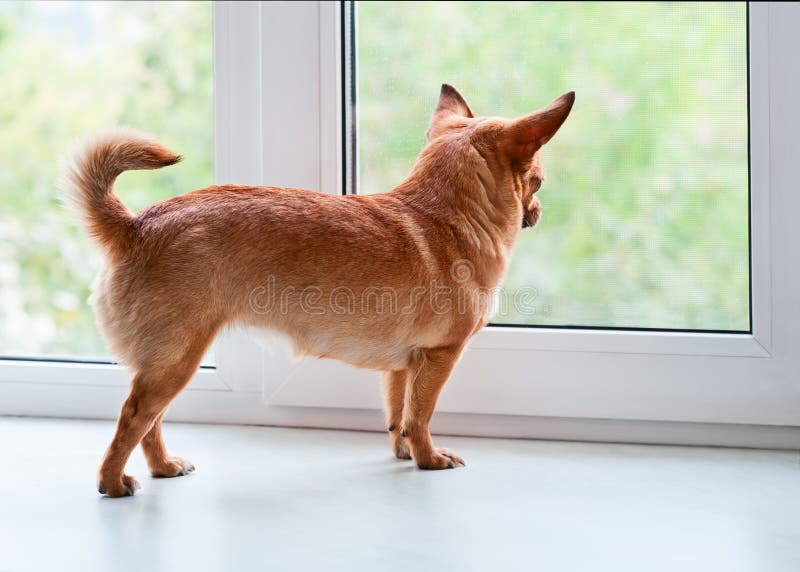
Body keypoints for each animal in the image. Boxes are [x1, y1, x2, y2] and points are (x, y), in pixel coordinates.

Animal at [64, 85, 576, 496]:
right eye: (538, 180)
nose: (539, 210)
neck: (444, 213)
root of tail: (137, 225)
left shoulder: (403, 366)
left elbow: (400, 415)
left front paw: (405, 452)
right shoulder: (439, 357)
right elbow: (422, 415)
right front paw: (429, 459)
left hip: (168, 362)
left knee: (150, 421)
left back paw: (163, 467)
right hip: (176, 360)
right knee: (133, 417)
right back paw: (112, 483)